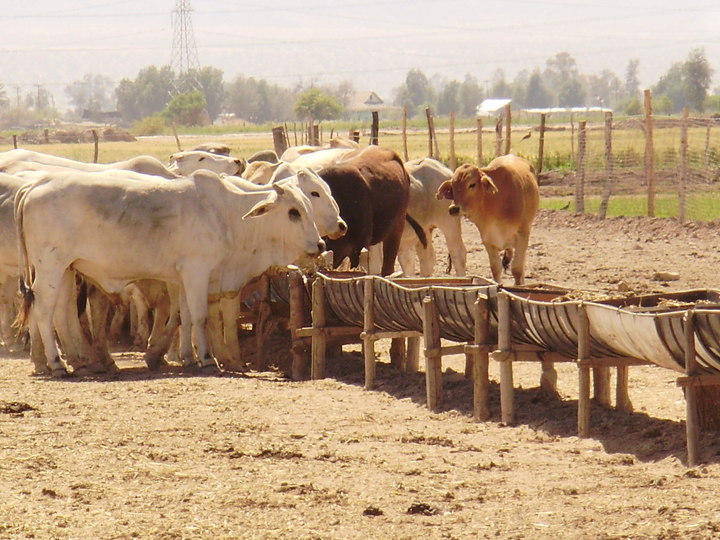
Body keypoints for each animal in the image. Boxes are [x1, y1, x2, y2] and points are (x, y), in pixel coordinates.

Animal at [14, 169, 324, 376]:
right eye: (293, 212)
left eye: (309, 206)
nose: (320, 244)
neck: (226, 214)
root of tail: (36, 184)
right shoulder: (197, 270)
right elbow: (199, 317)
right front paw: (207, 359)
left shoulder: (183, 276)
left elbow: (184, 317)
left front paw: (188, 357)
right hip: (50, 267)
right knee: (44, 311)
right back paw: (57, 364)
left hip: (66, 270)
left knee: (63, 313)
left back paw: (79, 362)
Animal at [434, 154, 540, 284]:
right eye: (453, 186)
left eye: (472, 184)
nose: (454, 209)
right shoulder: (488, 239)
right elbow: (495, 268)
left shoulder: (523, 235)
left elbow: (517, 269)